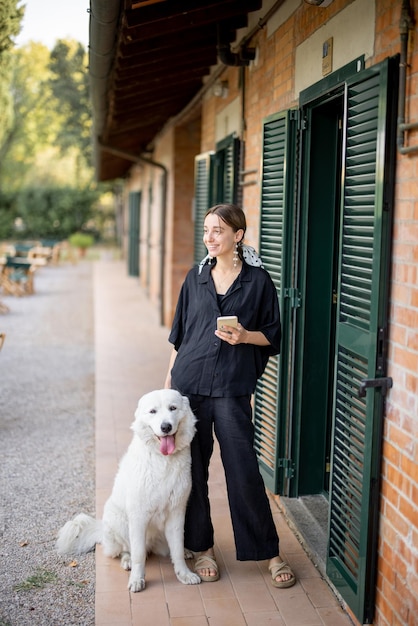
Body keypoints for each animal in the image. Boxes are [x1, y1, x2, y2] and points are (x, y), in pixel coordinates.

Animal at [56, 386, 201, 588]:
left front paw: (184, 574)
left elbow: (177, 550)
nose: (165, 427)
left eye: (173, 408)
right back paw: (127, 561)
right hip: (119, 520)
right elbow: (139, 554)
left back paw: (186, 551)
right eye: (153, 411)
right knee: (125, 549)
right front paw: (137, 579)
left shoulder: (176, 513)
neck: (162, 459)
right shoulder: (138, 516)